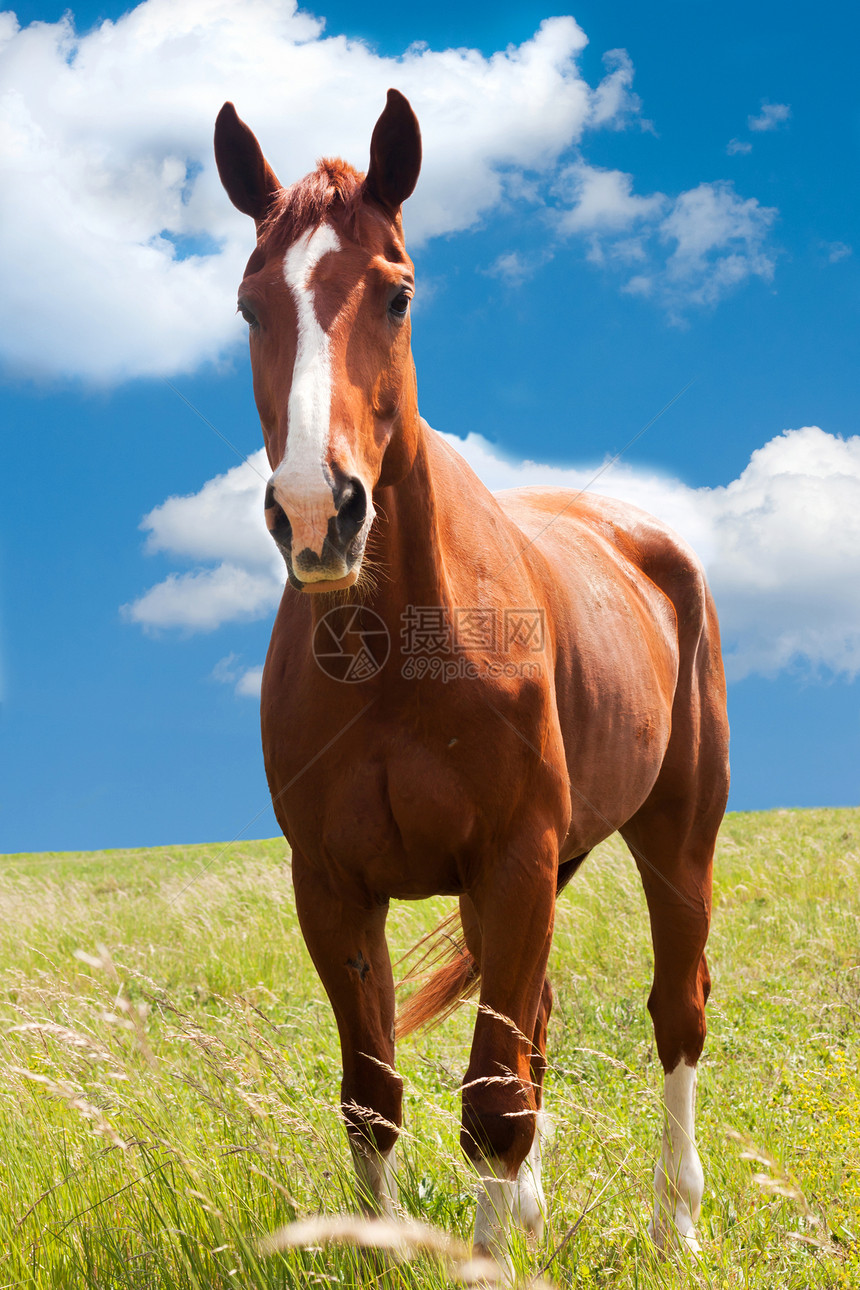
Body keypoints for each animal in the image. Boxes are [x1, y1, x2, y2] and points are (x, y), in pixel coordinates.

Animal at [211, 85, 732, 1274]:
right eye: (249, 305)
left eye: (396, 294)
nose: (316, 512)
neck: (391, 655)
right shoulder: (332, 886)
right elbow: (374, 1095)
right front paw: (383, 1251)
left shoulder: (513, 860)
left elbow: (492, 1104)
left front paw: (491, 1261)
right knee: (532, 1020)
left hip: (675, 840)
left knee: (673, 1014)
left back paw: (674, 1223)